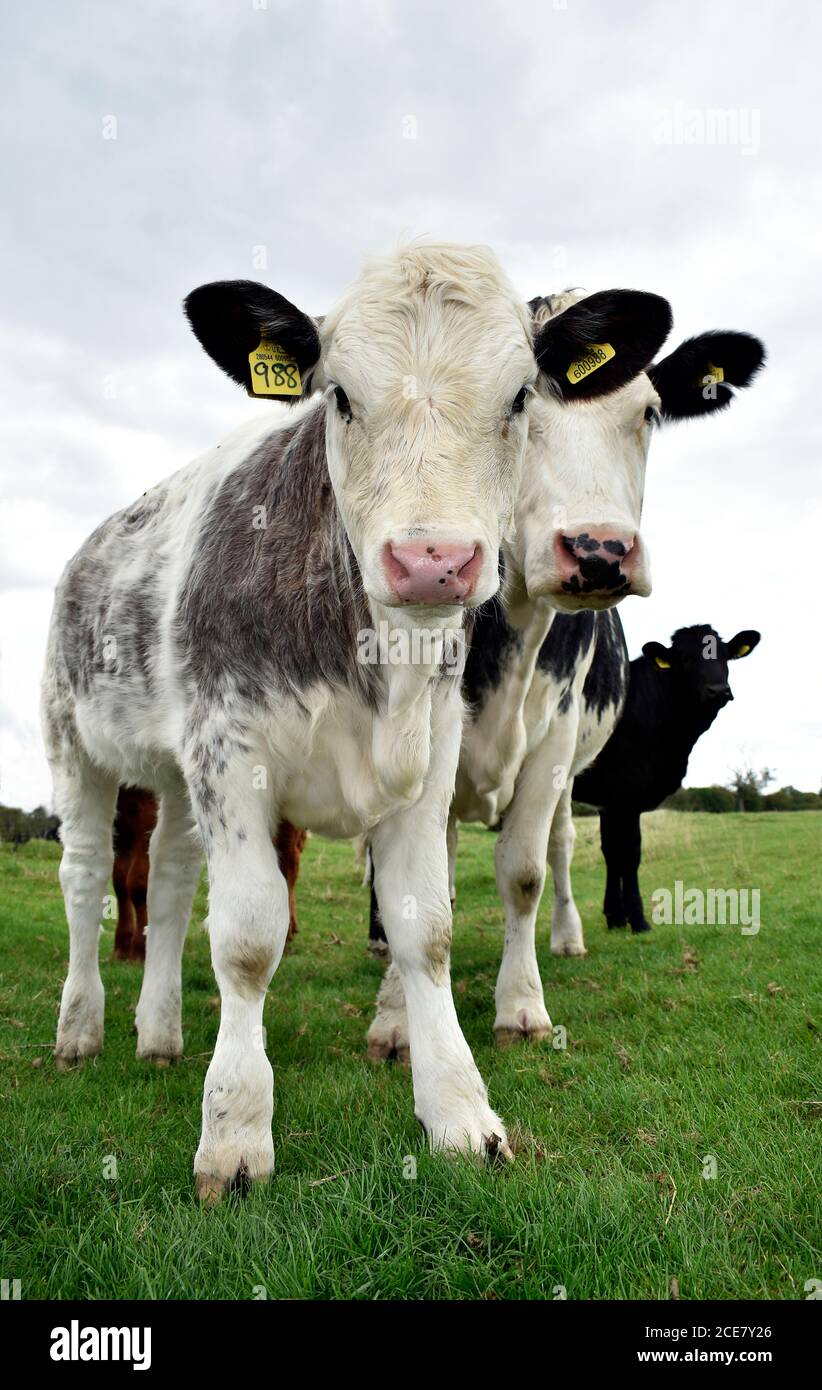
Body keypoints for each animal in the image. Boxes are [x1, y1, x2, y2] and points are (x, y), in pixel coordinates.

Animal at [111, 787, 306, 961]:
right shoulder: (120, 821)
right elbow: (119, 881)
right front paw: (122, 944)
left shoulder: (146, 810)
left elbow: (137, 883)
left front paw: (140, 949)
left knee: (287, 864)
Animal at [573, 623, 761, 934]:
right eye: (685, 659)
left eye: (724, 655)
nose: (718, 690)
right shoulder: (626, 796)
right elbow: (629, 854)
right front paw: (638, 920)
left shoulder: (609, 802)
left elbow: (611, 853)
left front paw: (615, 918)